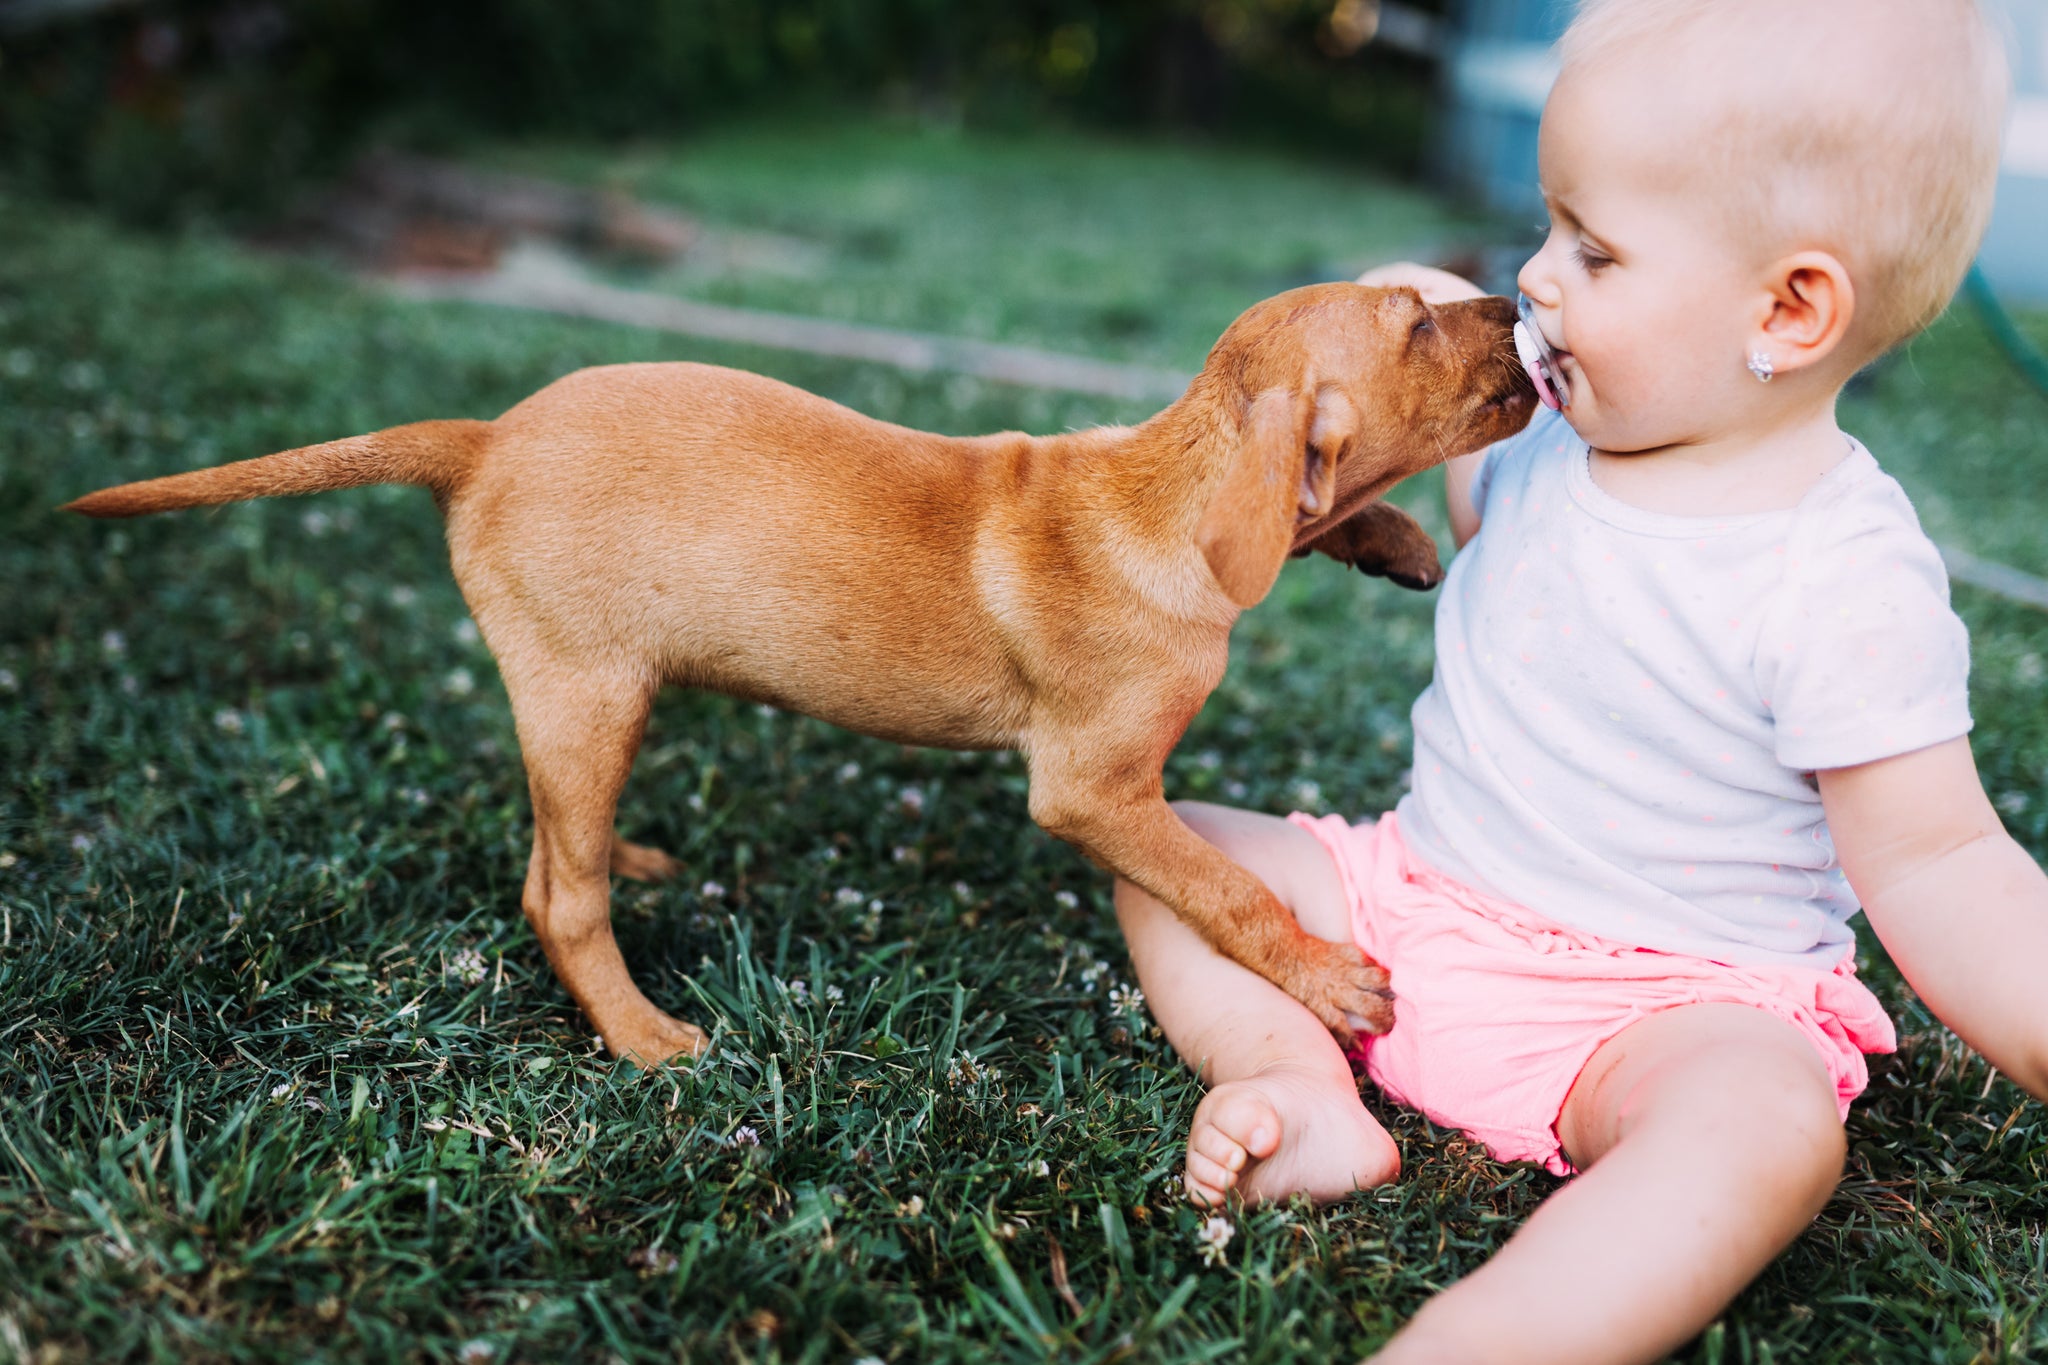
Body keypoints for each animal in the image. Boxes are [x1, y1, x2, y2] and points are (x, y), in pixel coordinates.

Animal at [64, 286, 1531, 1064]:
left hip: (587, 700)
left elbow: (1316, 512)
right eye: (1415, 321)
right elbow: (1228, 890)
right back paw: (642, 1033)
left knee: (551, 835)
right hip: (588, 686)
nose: (1516, 301)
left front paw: (1393, 537)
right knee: (556, 897)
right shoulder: (1095, 790)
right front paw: (1326, 980)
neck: (1156, 495)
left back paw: (633, 855)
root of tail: (480, 439)